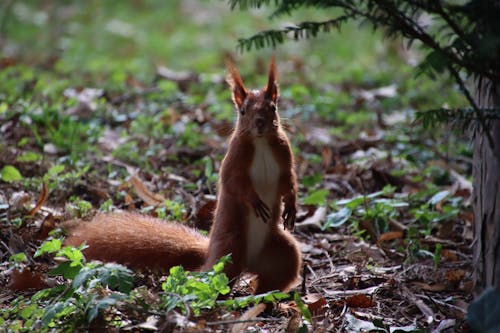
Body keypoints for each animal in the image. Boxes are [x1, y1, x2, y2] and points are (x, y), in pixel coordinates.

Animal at [65, 59, 302, 294]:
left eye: (273, 107)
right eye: (243, 111)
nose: (260, 123)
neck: (260, 143)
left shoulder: (283, 154)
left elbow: (289, 180)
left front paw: (291, 205)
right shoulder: (234, 159)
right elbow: (234, 183)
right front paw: (254, 200)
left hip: (282, 253)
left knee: (277, 274)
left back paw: (263, 295)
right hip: (229, 249)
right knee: (211, 276)